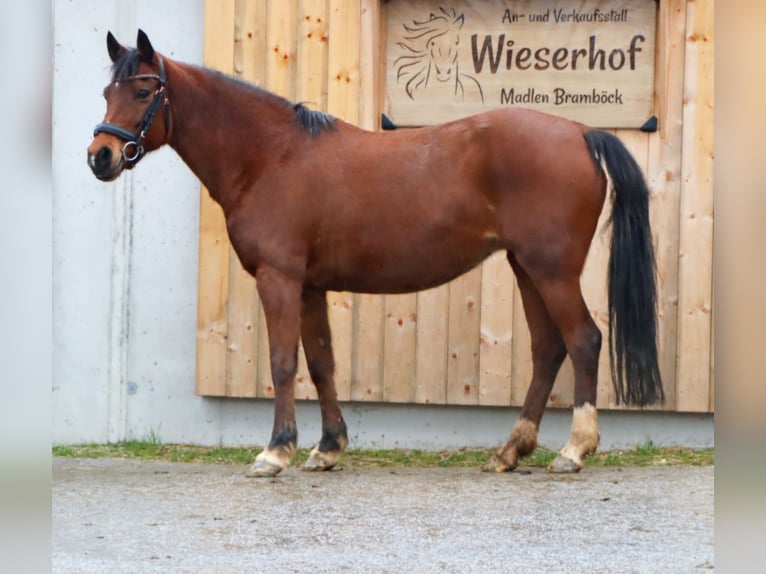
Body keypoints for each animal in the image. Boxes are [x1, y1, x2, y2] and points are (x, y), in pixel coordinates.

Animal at [88, 32, 664, 482]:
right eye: (106, 91)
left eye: (143, 90)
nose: (101, 156)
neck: (270, 156)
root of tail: (581, 132)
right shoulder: (310, 285)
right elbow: (321, 362)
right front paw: (327, 449)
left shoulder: (279, 278)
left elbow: (282, 362)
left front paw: (275, 452)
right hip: (527, 267)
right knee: (548, 349)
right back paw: (509, 452)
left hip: (552, 270)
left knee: (583, 340)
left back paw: (573, 450)